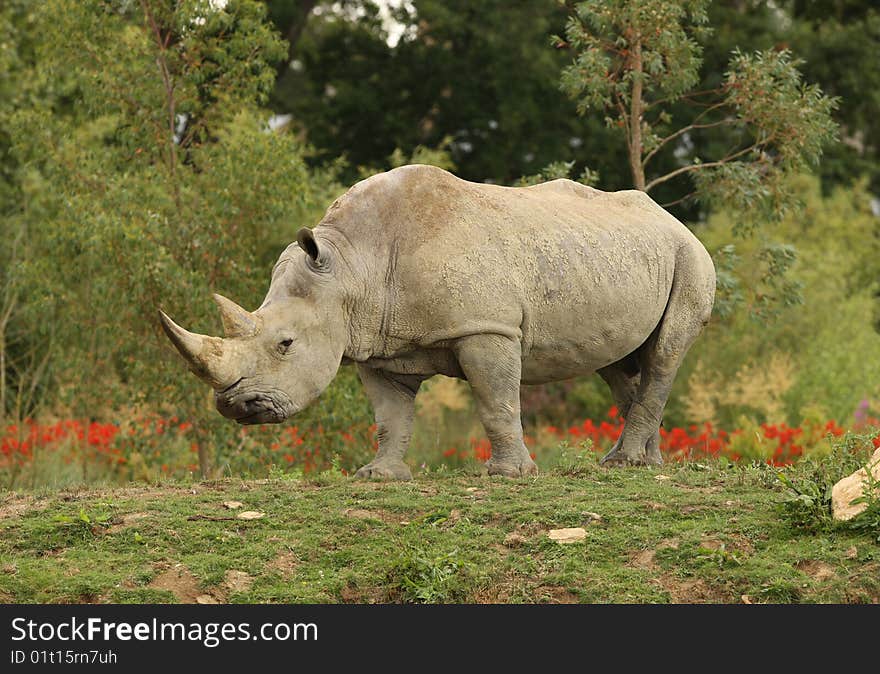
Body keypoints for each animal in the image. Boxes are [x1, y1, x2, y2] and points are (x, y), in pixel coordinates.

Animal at [162, 165, 720, 476]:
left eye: (285, 344)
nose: (236, 408)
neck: (351, 267)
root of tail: (671, 217)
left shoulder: (486, 327)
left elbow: (496, 401)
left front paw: (509, 476)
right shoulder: (377, 343)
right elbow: (390, 417)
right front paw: (379, 476)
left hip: (690, 255)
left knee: (665, 353)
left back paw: (626, 463)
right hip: (617, 255)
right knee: (619, 363)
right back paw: (640, 465)